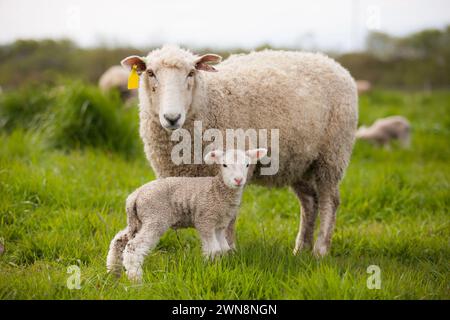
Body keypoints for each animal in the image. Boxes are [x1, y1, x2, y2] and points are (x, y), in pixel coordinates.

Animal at [105, 149, 268, 282]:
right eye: (224, 165)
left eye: (247, 165)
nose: (238, 180)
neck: (218, 190)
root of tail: (134, 196)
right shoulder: (205, 219)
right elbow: (213, 249)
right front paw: (209, 270)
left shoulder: (220, 225)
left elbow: (223, 249)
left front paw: (220, 268)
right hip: (155, 217)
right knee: (133, 247)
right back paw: (136, 280)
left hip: (138, 221)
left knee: (119, 241)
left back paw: (113, 273)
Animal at [120, 45, 358, 256]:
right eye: (150, 73)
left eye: (191, 73)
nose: (172, 117)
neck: (208, 102)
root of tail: (334, 64)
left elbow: (229, 217)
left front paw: (229, 251)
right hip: (299, 161)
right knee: (309, 202)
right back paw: (301, 249)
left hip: (332, 153)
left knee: (329, 200)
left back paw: (320, 251)